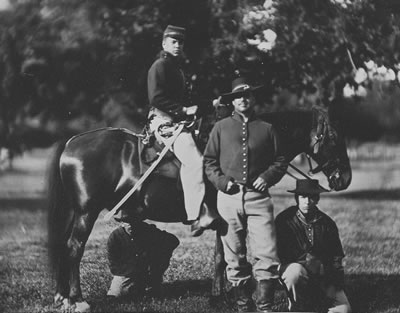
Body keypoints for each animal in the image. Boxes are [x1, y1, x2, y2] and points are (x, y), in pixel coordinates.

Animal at [47, 105, 350, 310]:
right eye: (333, 137)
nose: (344, 178)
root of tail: (72, 142)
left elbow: (219, 255)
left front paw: (220, 293)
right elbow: (223, 256)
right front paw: (221, 295)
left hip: (75, 212)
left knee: (63, 246)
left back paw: (62, 297)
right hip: (86, 213)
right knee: (74, 248)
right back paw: (78, 300)